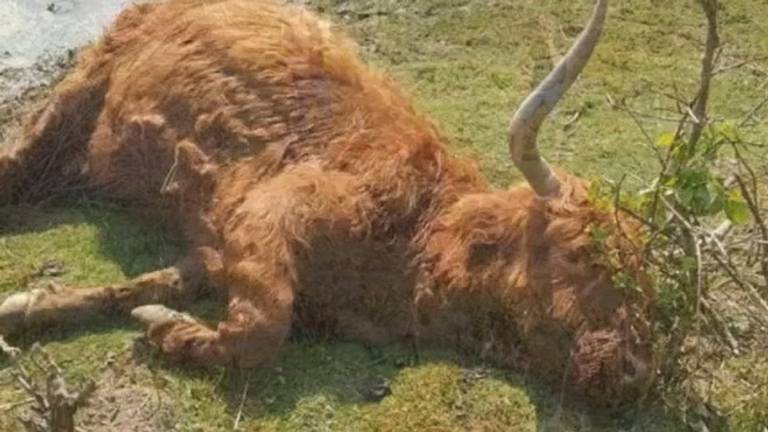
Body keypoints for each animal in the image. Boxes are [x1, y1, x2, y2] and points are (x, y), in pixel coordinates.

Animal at [0, 0, 656, 404]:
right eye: (581, 255)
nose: (634, 369)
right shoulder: (273, 206)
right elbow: (259, 331)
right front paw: (165, 329)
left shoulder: (219, 246)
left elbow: (164, 284)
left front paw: (32, 306)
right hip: (90, 75)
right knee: (19, 163)